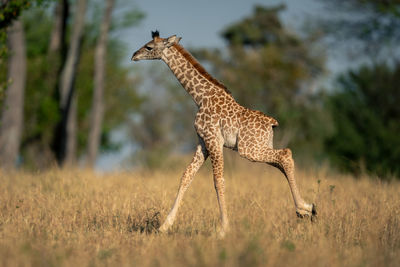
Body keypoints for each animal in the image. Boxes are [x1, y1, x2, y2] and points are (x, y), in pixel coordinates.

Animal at [130, 31, 316, 239]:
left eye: (149, 47)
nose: (134, 55)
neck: (200, 97)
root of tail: (272, 123)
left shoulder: (214, 140)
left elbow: (218, 181)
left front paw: (223, 229)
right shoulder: (202, 142)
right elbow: (186, 175)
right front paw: (164, 226)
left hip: (248, 149)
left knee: (285, 154)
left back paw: (304, 209)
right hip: (260, 146)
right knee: (282, 160)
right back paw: (306, 209)